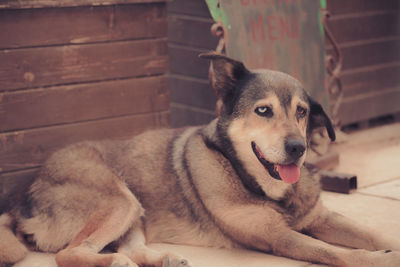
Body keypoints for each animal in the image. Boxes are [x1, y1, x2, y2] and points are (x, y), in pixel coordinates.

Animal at [0, 52, 400, 267]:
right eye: (263, 110)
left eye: (302, 112)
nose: (297, 147)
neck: (254, 181)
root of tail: (20, 198)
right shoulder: (279, 237)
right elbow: (336, 252)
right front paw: (382, 258)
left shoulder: (321, 218)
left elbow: (374, 232)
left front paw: (387, 243)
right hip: (117, 198)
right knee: (70, 254)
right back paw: (114, 260)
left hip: (134, 211)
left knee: (134, 248)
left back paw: (162, 259)